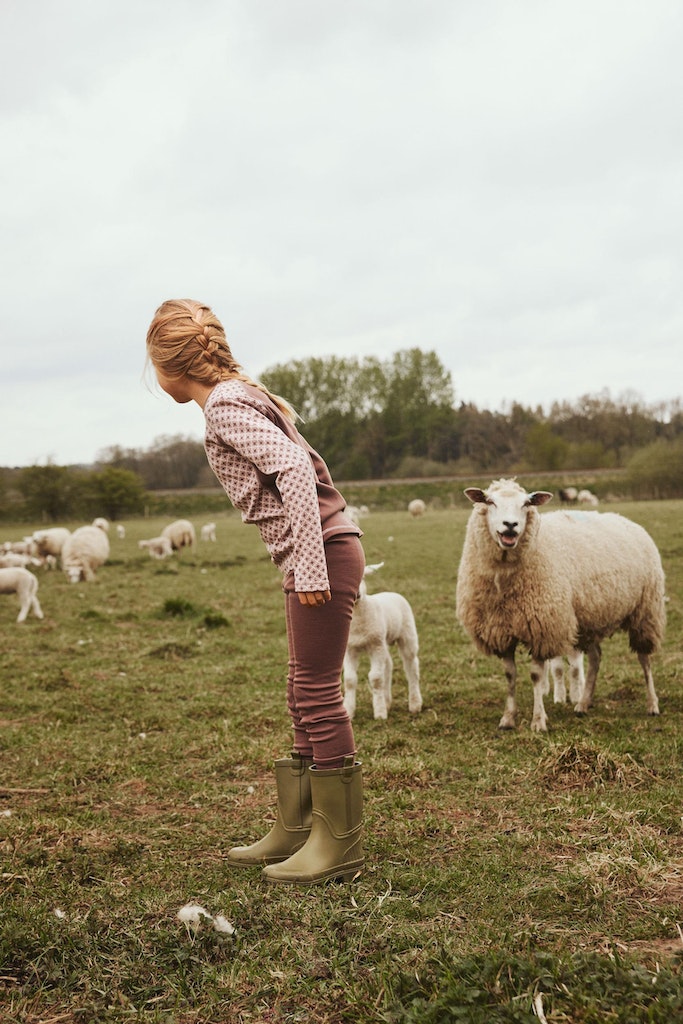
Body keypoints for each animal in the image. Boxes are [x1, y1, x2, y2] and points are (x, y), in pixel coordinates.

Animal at [342, 565, 421, 724]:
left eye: (363, 577)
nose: (356, 593)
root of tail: (391, 593)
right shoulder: (350, 649)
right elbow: (349, 680)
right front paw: (349, 710)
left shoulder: (375, 646)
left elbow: (376, 678)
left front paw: (379, 713)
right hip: (382, 642)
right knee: (388, 665)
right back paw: (387, 701)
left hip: (406, 635)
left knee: (411, 667)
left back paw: (415, 704)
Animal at [456, 475, 663, 733]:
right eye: (490, 501)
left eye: (526, 503)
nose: (510, 525)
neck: (504, 582)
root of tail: (627, 520)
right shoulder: (500, 632)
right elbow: (510, 675)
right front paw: (508, 718)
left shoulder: (541, 628)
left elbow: (536, 676)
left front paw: (538, 721)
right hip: (590, 620)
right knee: (595, 658)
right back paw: (584, 703)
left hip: (645, 612)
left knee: (644, 660)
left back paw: (652, 704)